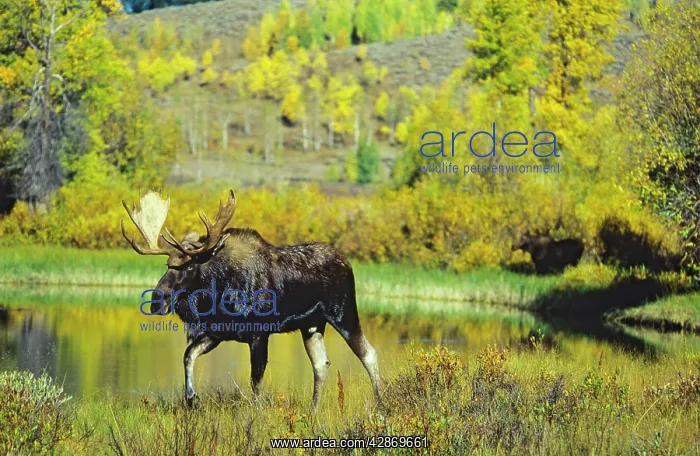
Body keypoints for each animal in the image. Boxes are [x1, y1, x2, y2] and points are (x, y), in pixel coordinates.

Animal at [120, 190, 381, 411]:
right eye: (167, 265)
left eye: (190, 265)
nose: (156, 299)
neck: (218, 292)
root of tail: (347, 263)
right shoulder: (217, 332)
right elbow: (188, 355)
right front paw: (191, 398)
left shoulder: (259, 334)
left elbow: (256, 381)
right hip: (311, 326)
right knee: (321, 364)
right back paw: (313, 412)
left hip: (344, 313)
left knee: (368, 353)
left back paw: (380, 406)